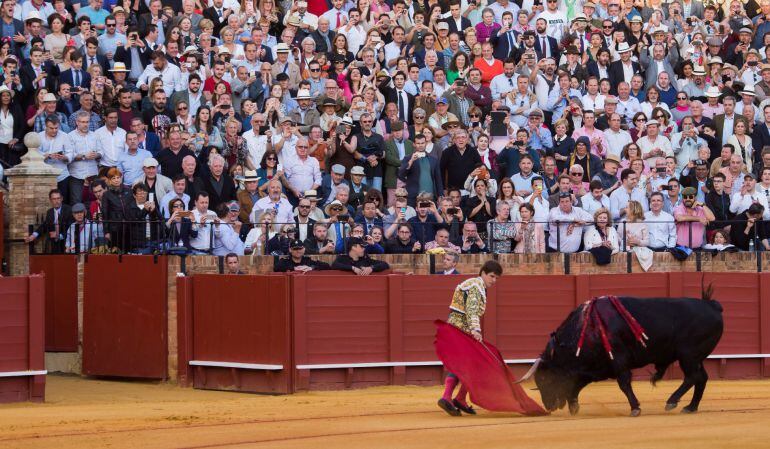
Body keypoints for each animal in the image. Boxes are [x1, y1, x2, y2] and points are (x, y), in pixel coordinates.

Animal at [516, 290, 720, 416]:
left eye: (545, 379)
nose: (548, 406)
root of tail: (712, 306)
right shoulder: (597, 367)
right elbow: (578, 384)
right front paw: (574, 406)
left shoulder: (618, 361)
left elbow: (624, 383)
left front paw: (635, 408)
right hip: (696, 358)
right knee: (702, 378)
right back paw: (690, 407)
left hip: (688, 355)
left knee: (692, 377)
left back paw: (672, 401)